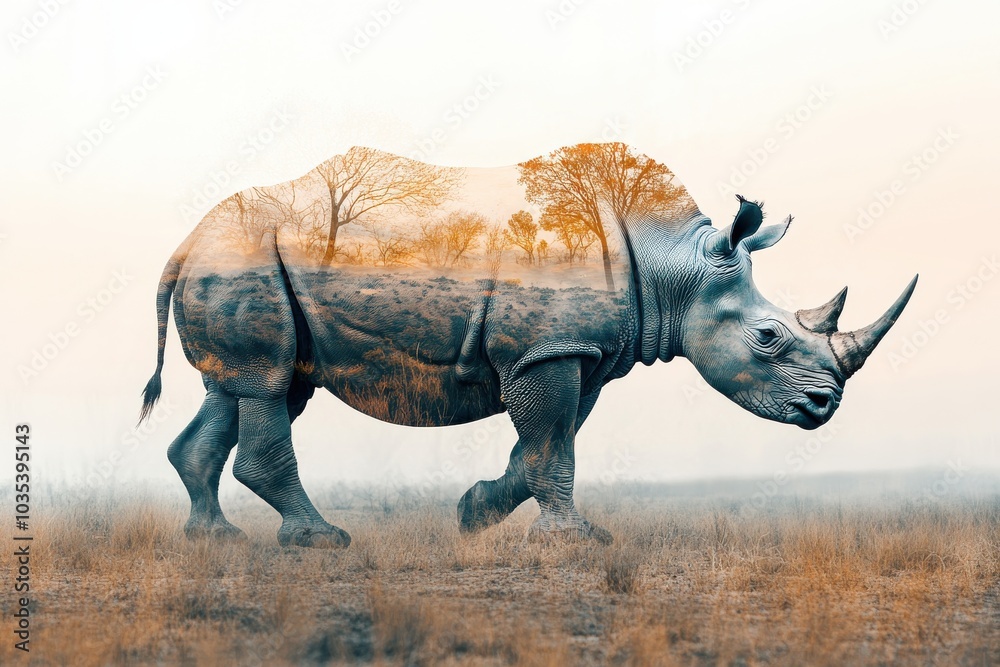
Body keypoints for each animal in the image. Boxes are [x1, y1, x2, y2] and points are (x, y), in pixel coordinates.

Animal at [140, 143, 916, 547]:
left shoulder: (580, 354)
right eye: (768, 336)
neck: (674, 266)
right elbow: (552, 447)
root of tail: (184, 241)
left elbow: (543, 445)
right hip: (243, 258)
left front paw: (473, 514)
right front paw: (579, 541)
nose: (824, 406)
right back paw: (320, 541)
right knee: (268, 387)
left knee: (249, 387)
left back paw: (214, 540)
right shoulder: (549, 351)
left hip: (248, 262)